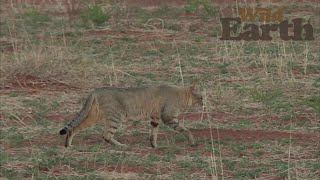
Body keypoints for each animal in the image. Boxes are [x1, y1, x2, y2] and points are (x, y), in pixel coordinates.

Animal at [59, 83, 202, 148]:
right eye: (200, 97)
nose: (204, 102)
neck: (180, 95)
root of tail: (97, 90)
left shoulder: (155, 118)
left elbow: (153, 133)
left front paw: (154, 146)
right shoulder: (168, 117)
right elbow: (186, 130)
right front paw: (192, 142)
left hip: (94, 116)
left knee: (74, 128)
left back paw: (68, 145)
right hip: (116, 117)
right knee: (106, 135)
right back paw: (121, 146)